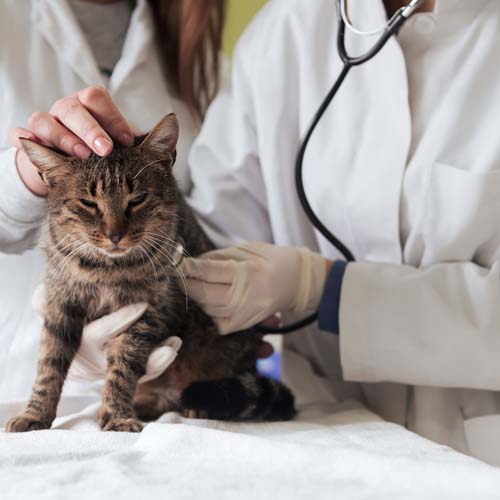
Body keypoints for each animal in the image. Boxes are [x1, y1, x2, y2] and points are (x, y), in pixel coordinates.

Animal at [5, 114, 294, 434]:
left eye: (137, 199)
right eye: (89, 203)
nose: (115, 235)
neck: (105, 269)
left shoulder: (148, 311)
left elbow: (122, 368)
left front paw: (117, 414)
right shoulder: (60, 304)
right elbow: (48, 365)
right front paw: (35, 413)